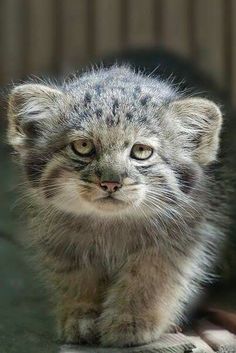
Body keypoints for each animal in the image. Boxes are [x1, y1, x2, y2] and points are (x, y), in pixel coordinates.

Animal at [7, 66, 227, 346]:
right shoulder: (61, 242)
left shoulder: (180, 240)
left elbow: (150, 277)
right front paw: (80, 315)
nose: (111, 183)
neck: (110, 225)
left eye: (141, 151)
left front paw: (131, 319)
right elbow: (76, 278)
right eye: (83, 146)